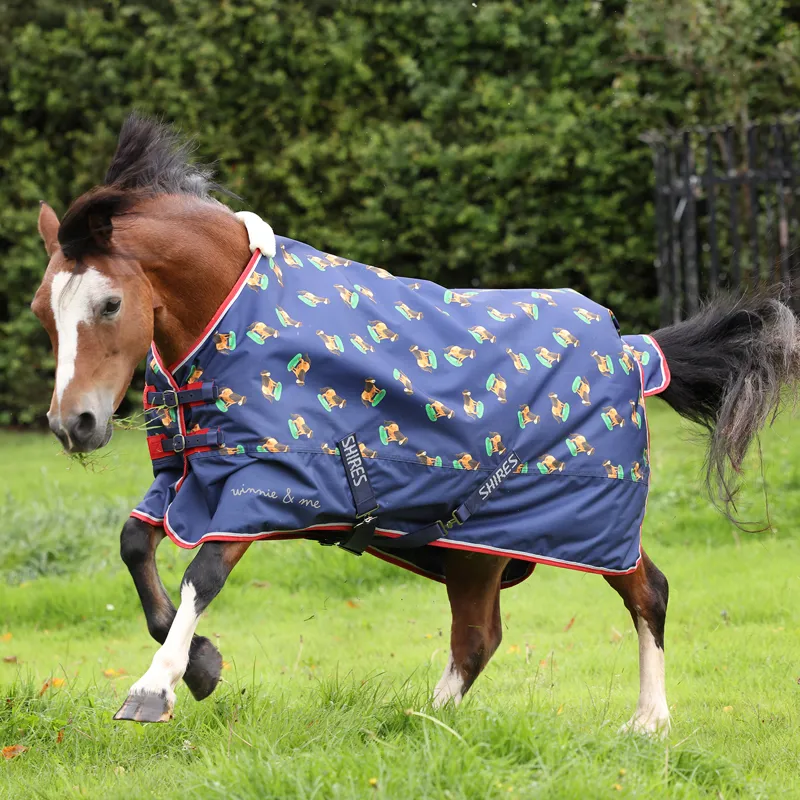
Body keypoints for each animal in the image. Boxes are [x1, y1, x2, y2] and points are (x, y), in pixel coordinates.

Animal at [31, 114, 800, 731]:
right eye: (43, 309)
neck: (237, 320)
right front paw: (203, 666)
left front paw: (155, 688)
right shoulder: (192, 476)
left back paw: (648, 723)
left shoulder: (270, 481)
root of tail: (636, 350)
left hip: (582, 523)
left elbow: (203, 574)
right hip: (479, 544)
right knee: (480, 638)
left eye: (108, 303)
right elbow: (135, 546)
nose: (75, 423)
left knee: (647, 592)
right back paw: (425, 724)